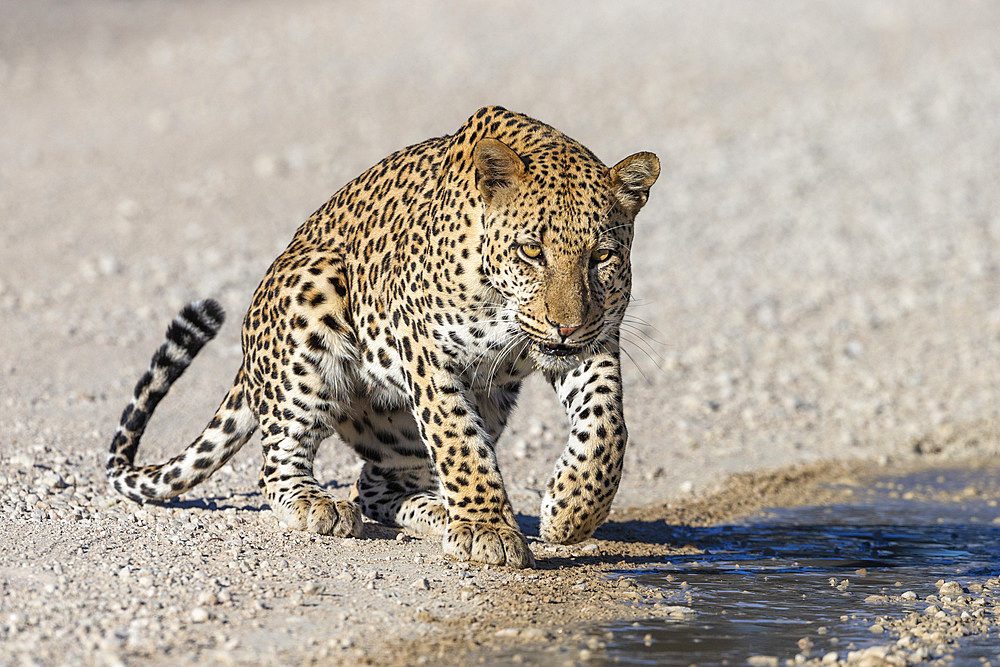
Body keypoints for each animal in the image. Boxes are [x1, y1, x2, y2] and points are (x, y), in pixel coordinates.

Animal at [105, 105, 660, 568]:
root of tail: (248, 356)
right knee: (281, 464)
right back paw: (318, 504)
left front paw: (570, 511)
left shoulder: (595, 341)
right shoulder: (428, 351)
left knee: (372, 485)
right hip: (313, 295)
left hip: (462, 406)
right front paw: (487, 529)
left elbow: (608, 427)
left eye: (601, 257)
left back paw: (437, 513)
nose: (565, 325)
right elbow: (458, 441)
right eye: (530, 251)